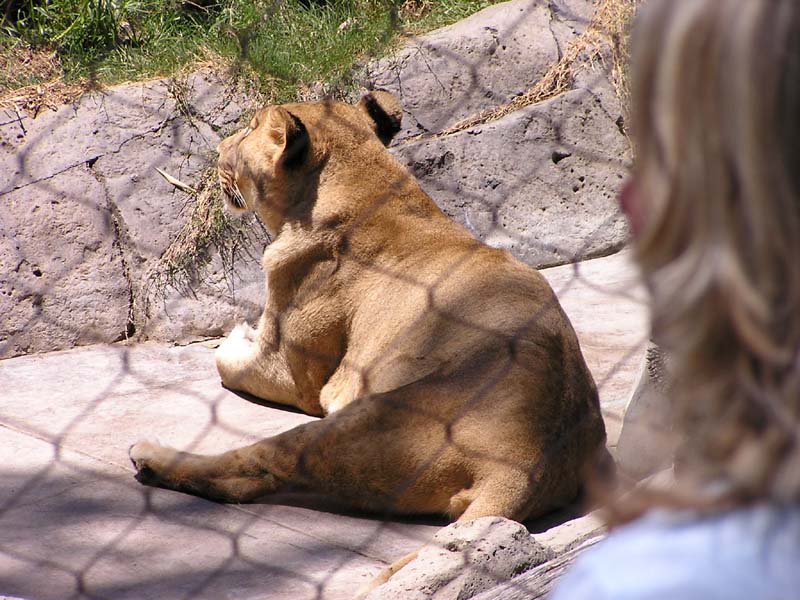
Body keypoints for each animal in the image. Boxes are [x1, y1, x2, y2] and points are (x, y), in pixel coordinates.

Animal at [129, 91, 608, 586]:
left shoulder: (293, 374)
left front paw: (235, 335)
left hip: (357, 423)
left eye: (248, 130)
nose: (220, 148)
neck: (362, 185)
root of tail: (524, 466)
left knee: (253, 470)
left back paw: (150, 456)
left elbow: (227, 361)